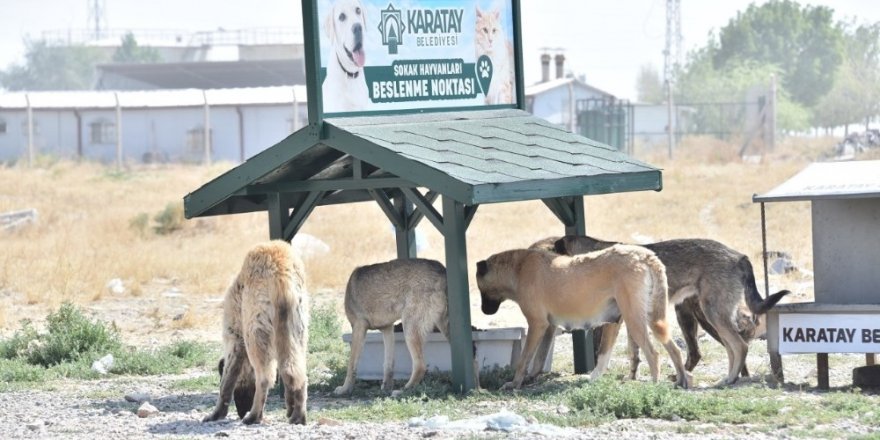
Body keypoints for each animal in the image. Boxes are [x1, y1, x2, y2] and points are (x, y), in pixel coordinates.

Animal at [203, 242, 310, 424]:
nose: (241, 411)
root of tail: (281, 272)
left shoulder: (236, 336)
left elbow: (227, 381)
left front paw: (216, 413)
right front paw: (290, 407)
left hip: (256, 330)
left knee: (264, 378)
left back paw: (253, 416)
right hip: (297, 326)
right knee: (298, 372)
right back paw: (298, 416)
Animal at [334, 258, 450, 396]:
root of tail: (442, 270)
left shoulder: (358, 326)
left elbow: (351, 365)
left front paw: (345, 389)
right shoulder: (387, 329)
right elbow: (388, 364)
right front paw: (386, 387)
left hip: (409, 329)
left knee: (420, 365)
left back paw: (403, 391)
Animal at [478, 246, 692, 390]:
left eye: (480, 291)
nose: (483, 312)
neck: (518, 268)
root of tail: (645, 255)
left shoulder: (537, 324)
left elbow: (524, 359)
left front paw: (515, 383)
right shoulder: (548, 327)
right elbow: (539, 359)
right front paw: (531, 378)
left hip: (635, 321)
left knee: (654, 355)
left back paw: (653, 387)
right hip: (649, 319)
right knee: (674, 349)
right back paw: (683, 381)